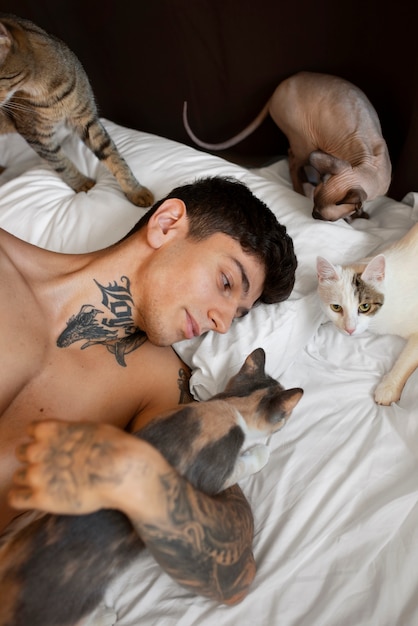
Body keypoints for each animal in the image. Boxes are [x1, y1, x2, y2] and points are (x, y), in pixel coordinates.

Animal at [0, 13, 153, 206]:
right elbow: (60, 162)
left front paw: (134, 190)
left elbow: (112, 155)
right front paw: (82, 183)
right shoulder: (36, 136)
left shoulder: (85, 119)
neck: (48, 90)